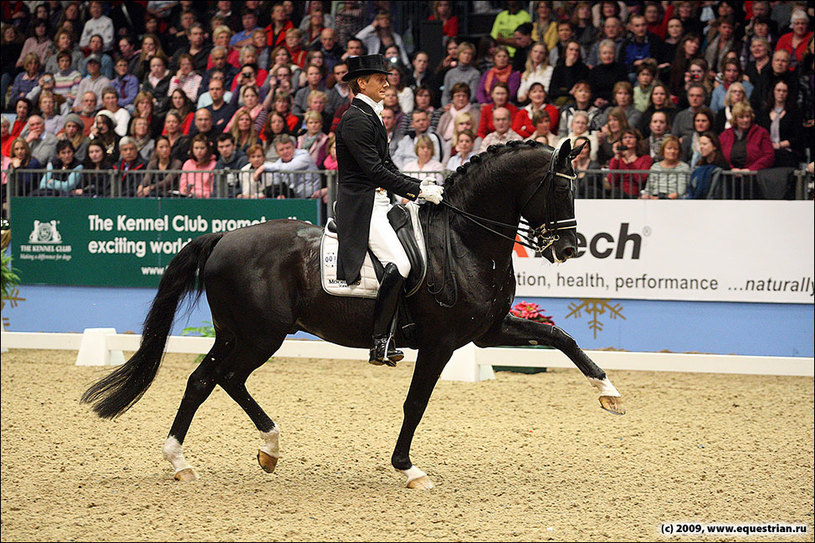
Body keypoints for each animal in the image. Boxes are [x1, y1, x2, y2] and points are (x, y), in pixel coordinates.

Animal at [81, 138, 624, 490]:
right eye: (561, 188)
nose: (570, 248)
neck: (465, 240)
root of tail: (223, 238)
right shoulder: (442, 342)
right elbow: (416, 403)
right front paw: (408, 468)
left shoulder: (487, 332)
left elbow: (561, 338)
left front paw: (609, 393)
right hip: (259, 335)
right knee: (214, 379)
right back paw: (187, 460)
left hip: (241, 334)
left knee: (212, 379)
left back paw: (253, 452)